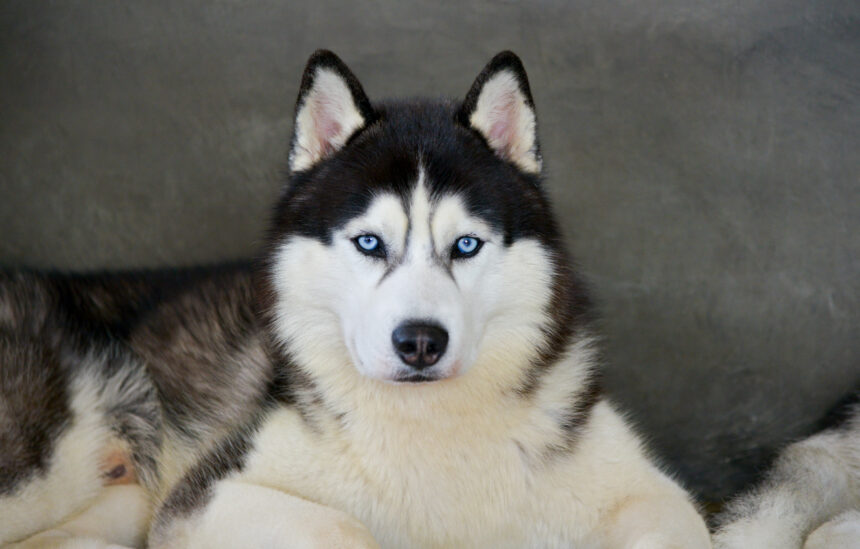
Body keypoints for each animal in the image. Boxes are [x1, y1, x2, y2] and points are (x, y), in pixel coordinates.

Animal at [0, 49, 712, 544]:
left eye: (465, 245)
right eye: (370, 242)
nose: (420, 342)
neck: (431, 430)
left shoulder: (645, 489)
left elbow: (689, 522)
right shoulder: (203, 498)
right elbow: (343, 525)